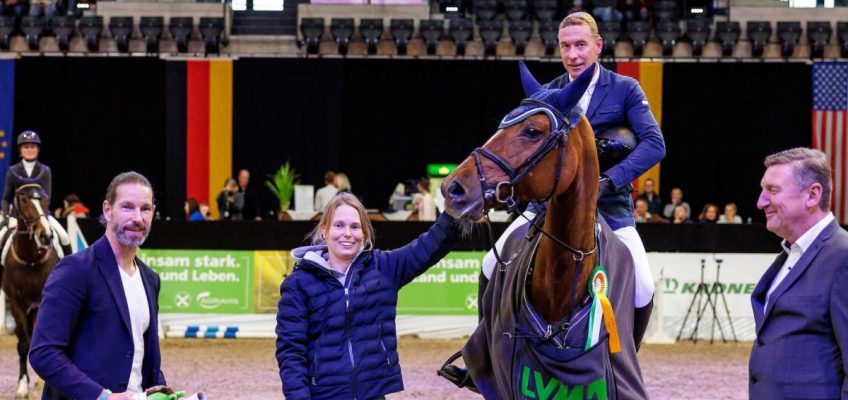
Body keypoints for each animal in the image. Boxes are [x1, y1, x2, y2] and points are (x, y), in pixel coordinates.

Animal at [2, 184, 58, 396]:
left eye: (44, 198)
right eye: (24, 200)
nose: (46, 235)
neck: (31, 260)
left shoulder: (42, 303)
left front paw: (41, 381)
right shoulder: (16, 305)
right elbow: (24, 345)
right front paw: (22, 386)